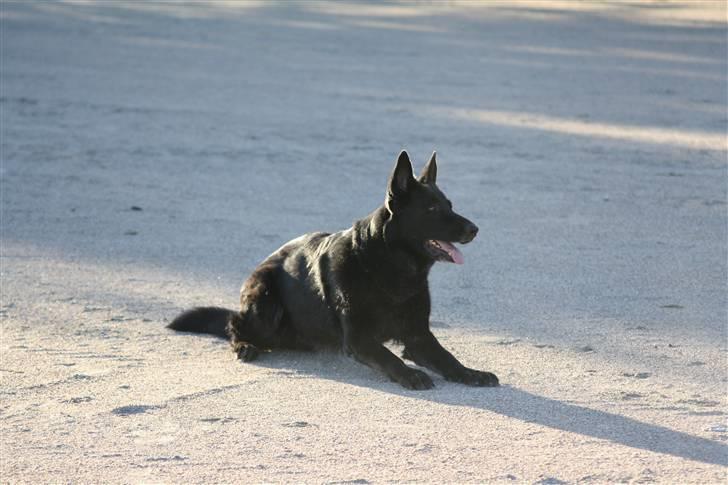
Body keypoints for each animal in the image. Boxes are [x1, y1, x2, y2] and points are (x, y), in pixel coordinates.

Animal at [169, 151, 500, 390]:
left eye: (450, 205)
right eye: (431, 209)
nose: (475, 229)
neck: (387, 267)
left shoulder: (419, 336)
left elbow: (448, 359)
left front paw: (471, 373)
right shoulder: (359, 339)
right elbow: (389, 357)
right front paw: (410, 375)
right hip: (264, 299)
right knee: (233, 323)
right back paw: (244, 346)